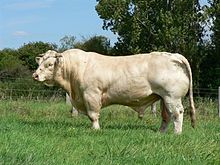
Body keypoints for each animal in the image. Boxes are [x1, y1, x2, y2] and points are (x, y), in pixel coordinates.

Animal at [33, 49, 196, 134]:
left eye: (49, 64)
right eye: (39, 63)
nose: (35, 75)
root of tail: (173, 55)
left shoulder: (91, 95)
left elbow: (93, 115)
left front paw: (96, 129)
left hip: (172, 97)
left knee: (177, 113)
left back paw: (177, 133)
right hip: (163, 97)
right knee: (166, 116)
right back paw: (160, 133)